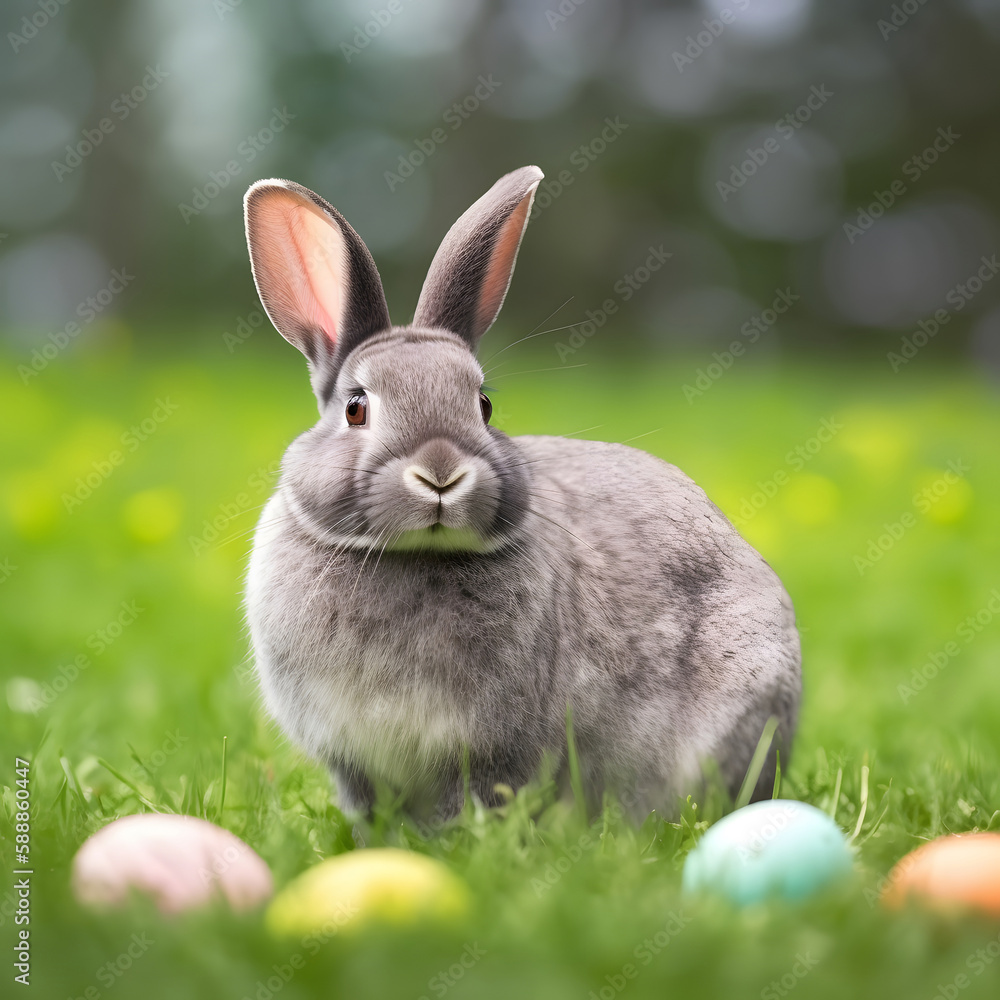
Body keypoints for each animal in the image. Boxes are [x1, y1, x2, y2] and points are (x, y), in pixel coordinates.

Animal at [240, 164, 796, 820]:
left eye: (483, 405)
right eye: (356, 408)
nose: (440, 472)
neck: (414, 555)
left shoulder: (492, 751)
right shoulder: (351, 761)